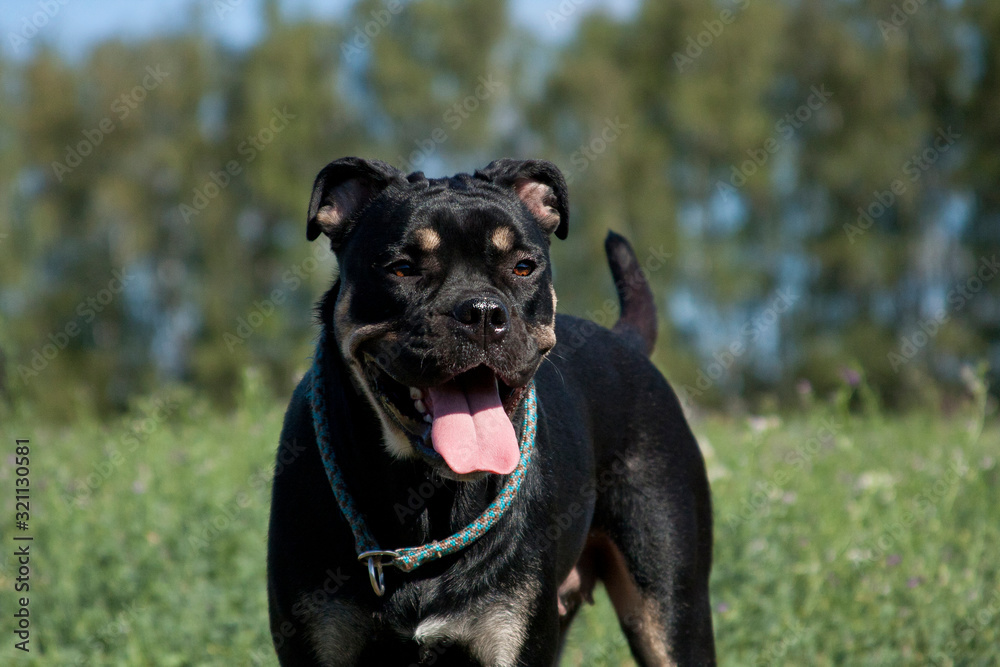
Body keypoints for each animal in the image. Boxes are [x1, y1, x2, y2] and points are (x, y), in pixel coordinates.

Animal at [268, 155, 720, 664]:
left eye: (523, 267)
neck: (425, 499)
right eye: (402, 268)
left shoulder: (511, 638)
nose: (483, 312)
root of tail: (626, 342)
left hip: (669, 608)